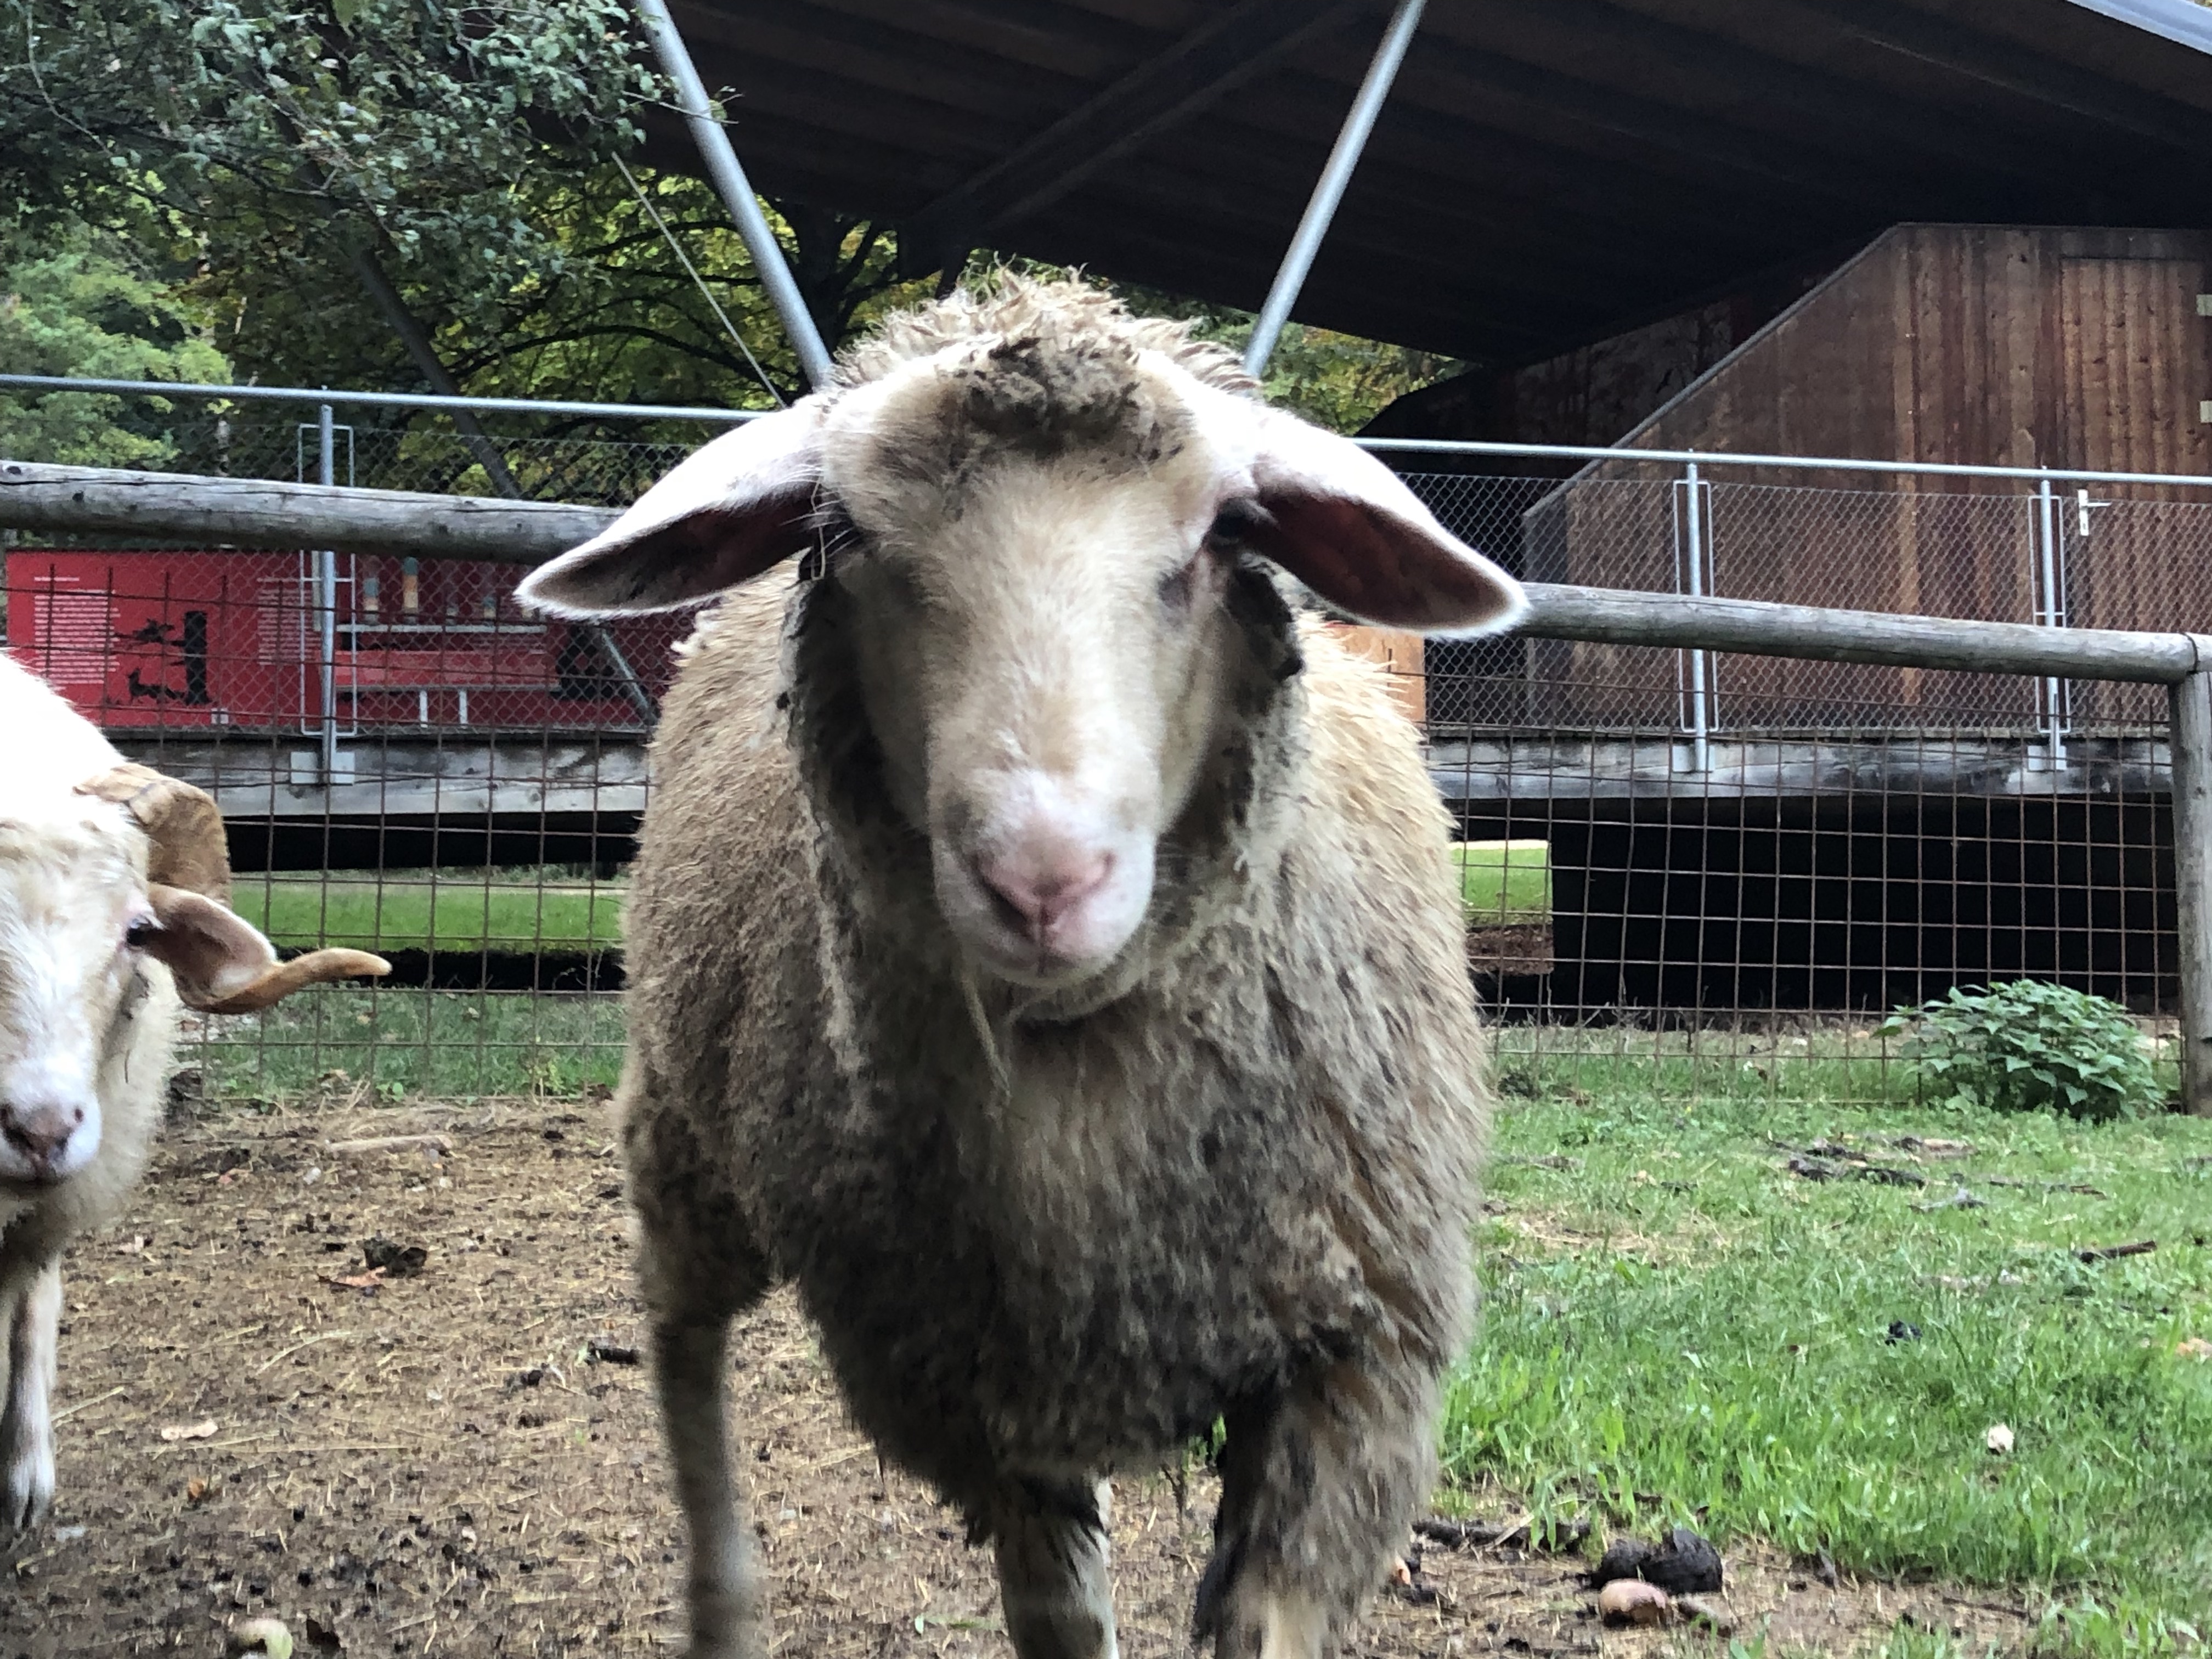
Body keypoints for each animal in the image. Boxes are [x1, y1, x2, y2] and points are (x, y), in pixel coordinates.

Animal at [517, 276, 1531, 1659]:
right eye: (851, 536)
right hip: (680, 1123)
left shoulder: (1360, 1361)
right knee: (683, 1346)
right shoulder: (975, 1394)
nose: (1044, 879)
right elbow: (1058, 1617)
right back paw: (721, 1603)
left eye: (1221, 537)